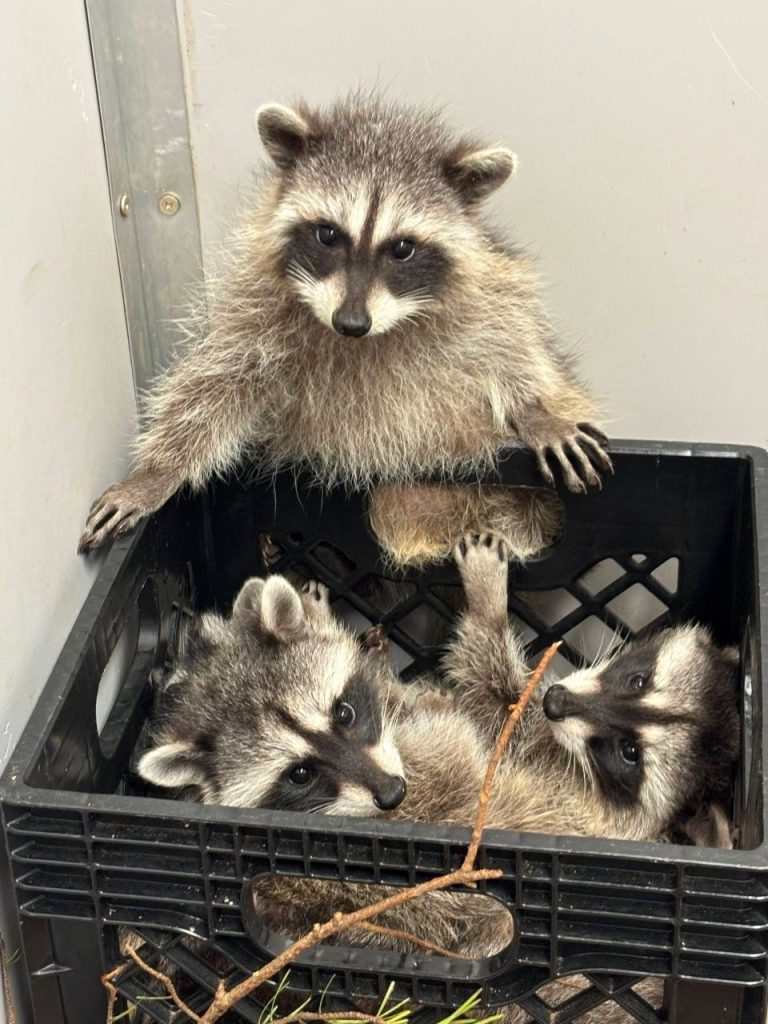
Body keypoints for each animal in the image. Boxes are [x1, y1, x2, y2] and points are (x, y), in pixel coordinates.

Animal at [79, 94, 611, 562]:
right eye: (327, 234)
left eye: (402, 248)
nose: (351, 323)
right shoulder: (257, 304)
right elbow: (217, 381)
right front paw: (156, 472)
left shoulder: (486, 291)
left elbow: (510, 341)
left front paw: (534, 409)